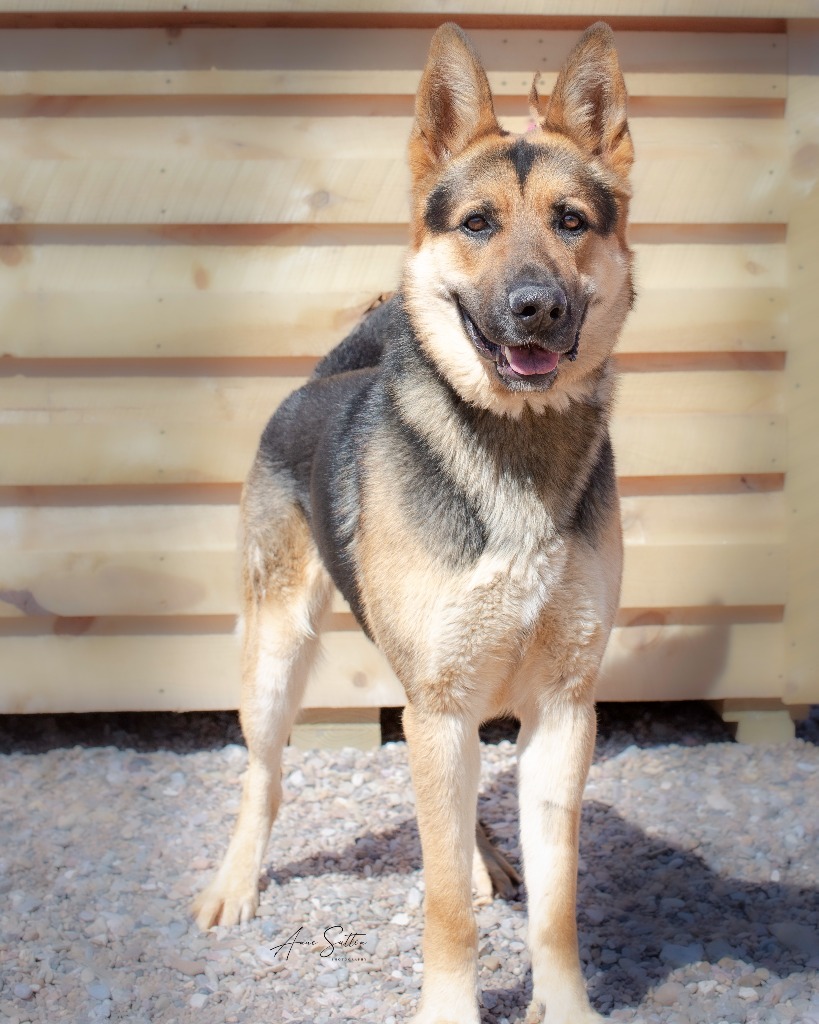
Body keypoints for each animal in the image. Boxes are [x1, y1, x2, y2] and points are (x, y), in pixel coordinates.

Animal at [192, 18, 634, 1024]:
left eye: (571, 221)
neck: (515, 445)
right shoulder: (439, 700)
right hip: (276, 661)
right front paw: (450, 1005)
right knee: (263, 778)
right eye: (476, 224)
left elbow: (558, 901)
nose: (537, 308)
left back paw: (481, 858)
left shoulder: (561, 710)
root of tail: (325, 377)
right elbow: (440, 909)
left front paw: (566, 1003)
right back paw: (235, 884)